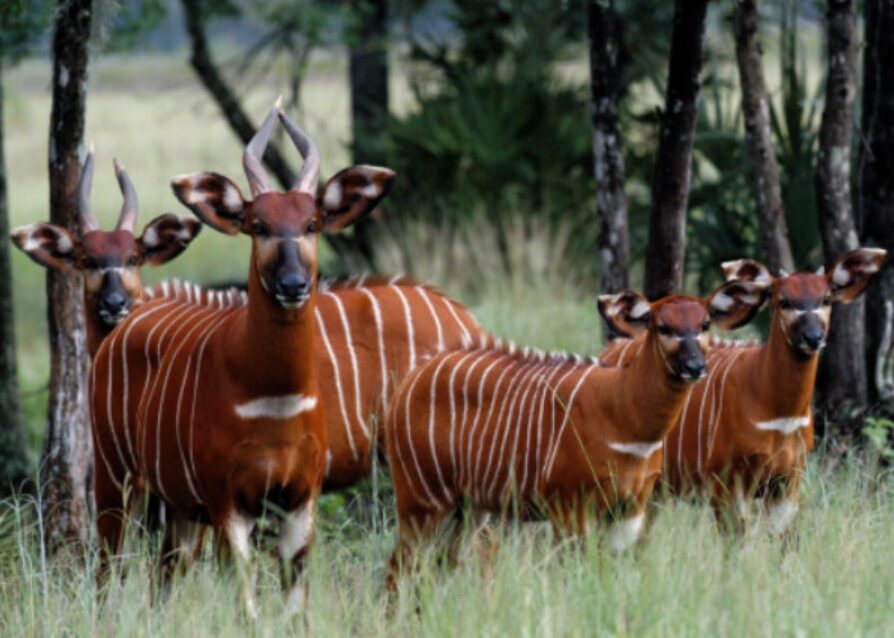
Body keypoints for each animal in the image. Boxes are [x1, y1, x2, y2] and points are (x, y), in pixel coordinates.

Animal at [91, 101, 396, 620]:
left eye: (312, 224)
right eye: (258, 225)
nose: (293, 284)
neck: (273, 396)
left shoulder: (298, 499)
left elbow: (293, 609)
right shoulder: (229, 502)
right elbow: (248, 606)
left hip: (179, 507)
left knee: (161, 579)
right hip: (116, 478)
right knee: (108, 571)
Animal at [382, 282, 768, 584]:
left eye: (704, 323)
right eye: (662, 326)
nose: (694, 366)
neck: (623, 413)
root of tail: (406, 385)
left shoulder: (631, 507)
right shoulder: (571, 508)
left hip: (466, 509)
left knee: (439, 569)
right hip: (422, 500)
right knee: (397, 570)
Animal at [600, 250, 888, 536]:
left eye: (825, 299)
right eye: (784, 301)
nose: (813, 337)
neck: (778, 411)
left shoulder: (787, 483)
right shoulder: (726, 482)